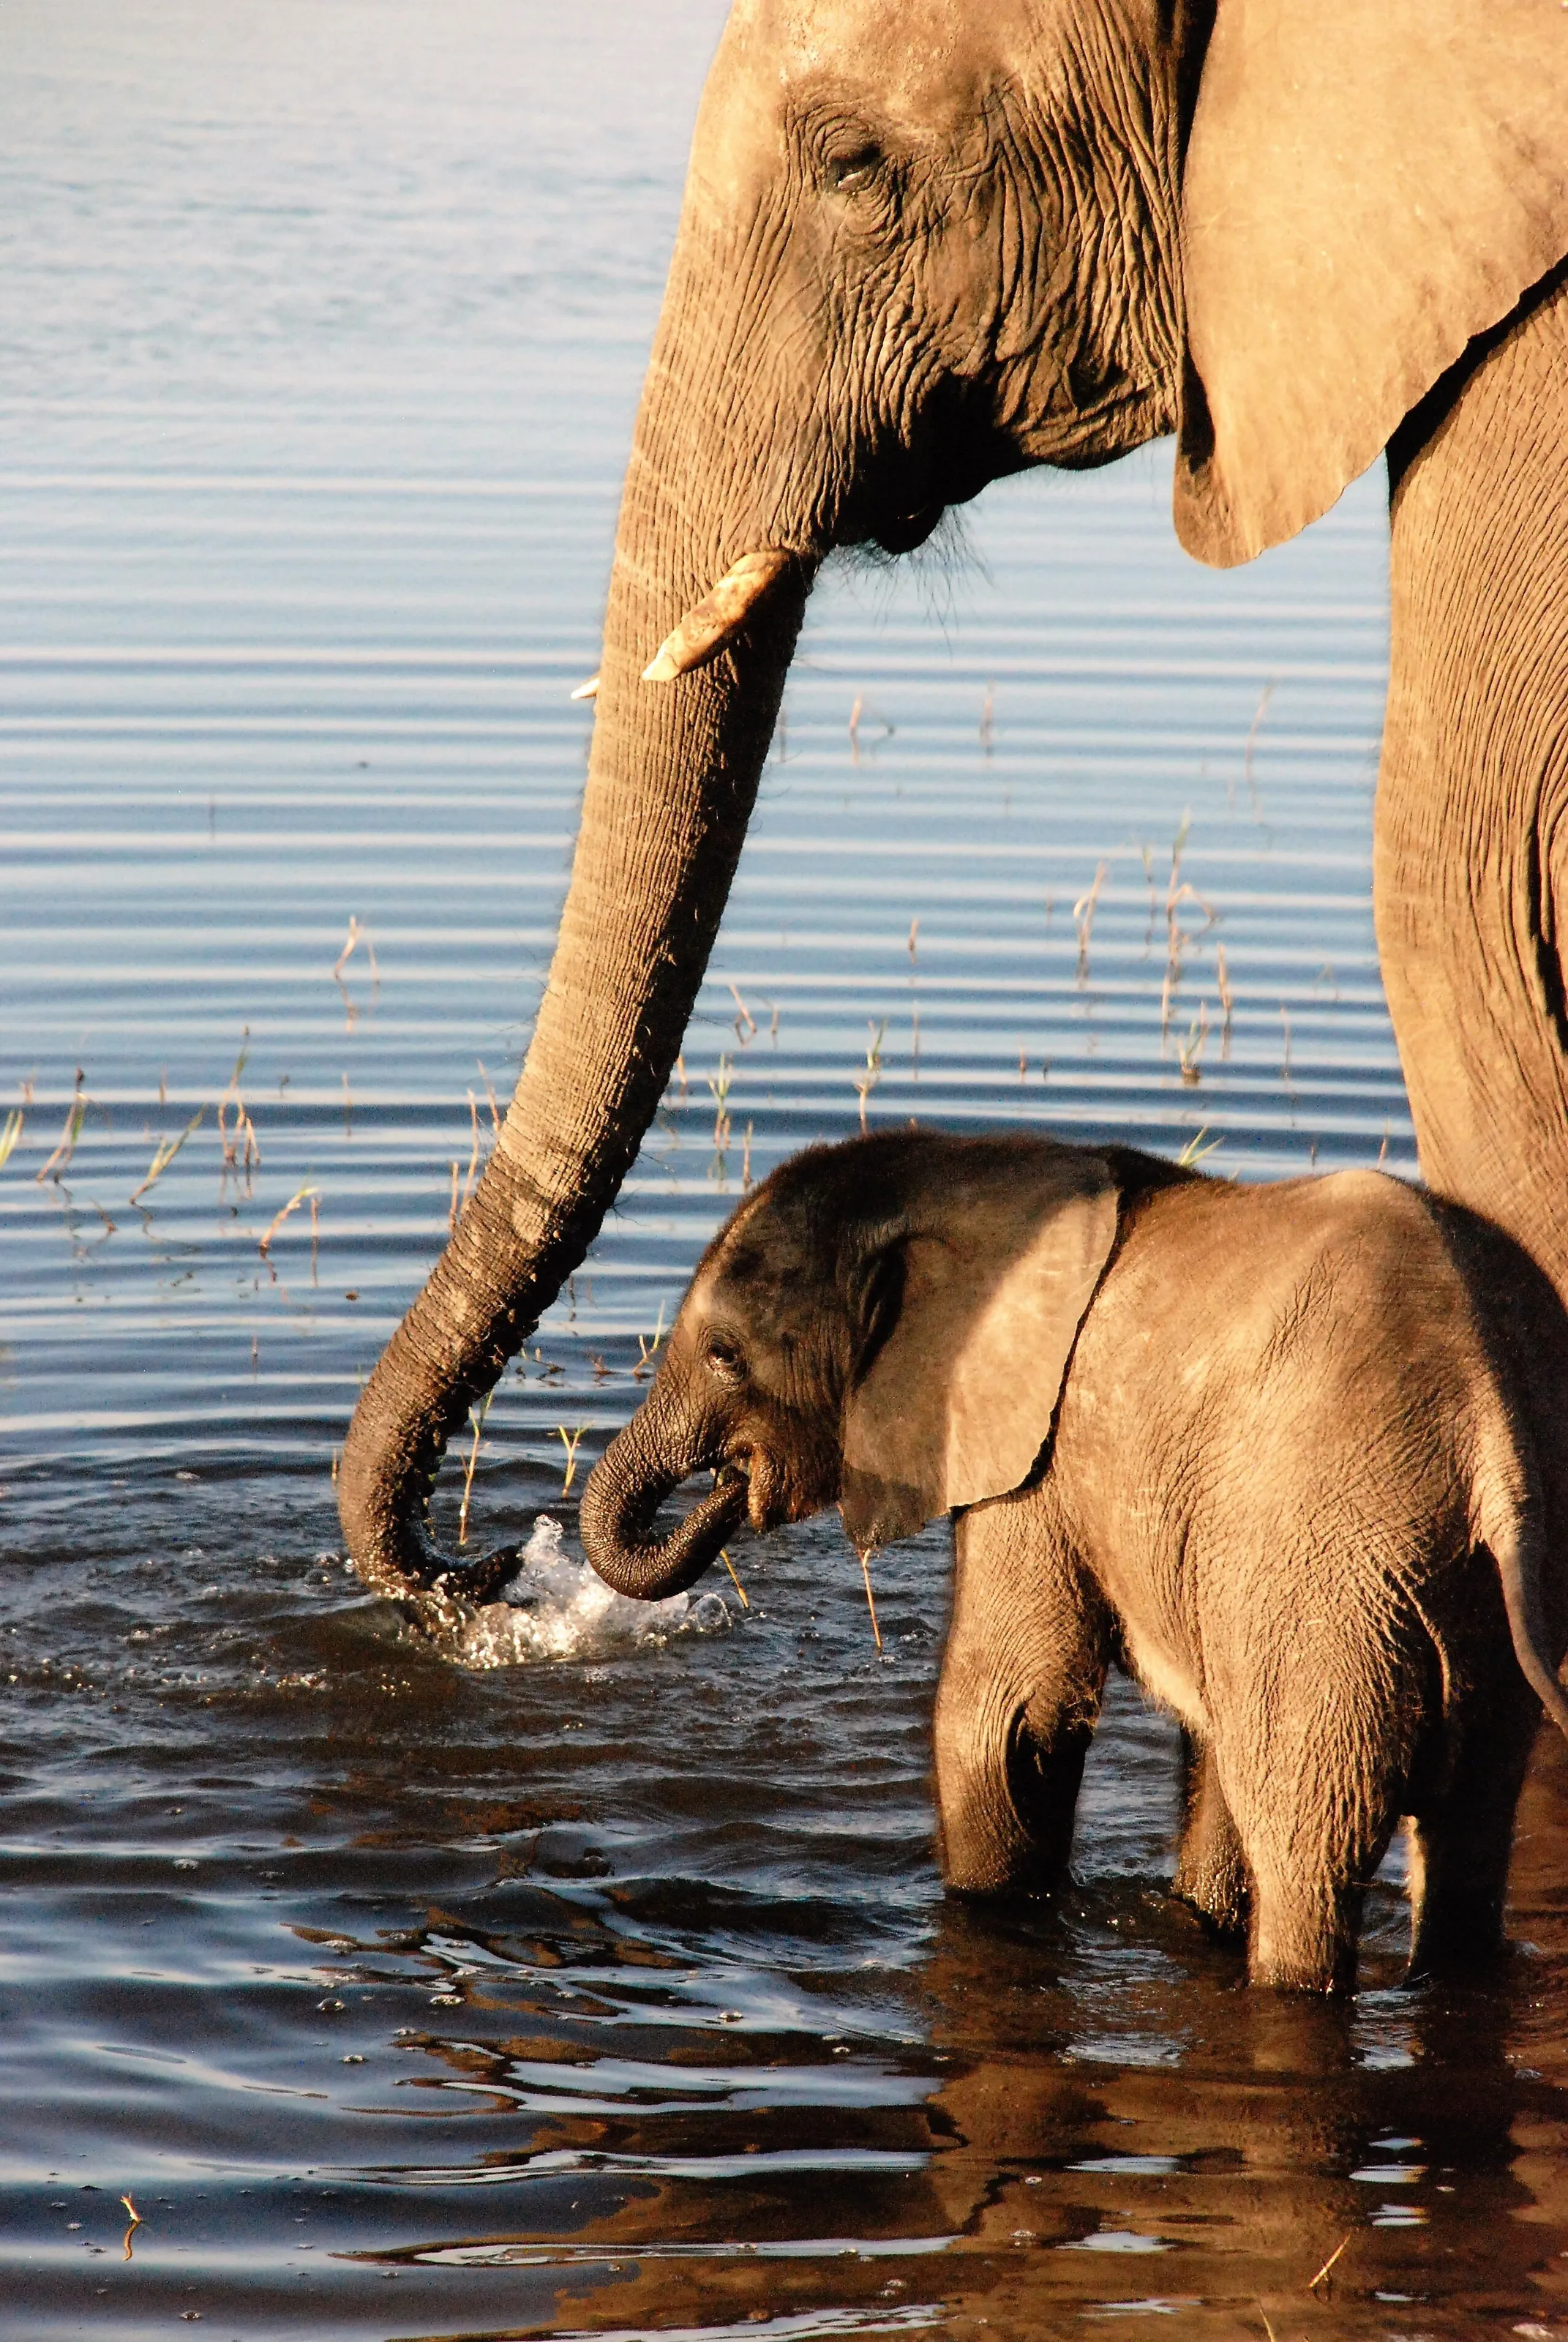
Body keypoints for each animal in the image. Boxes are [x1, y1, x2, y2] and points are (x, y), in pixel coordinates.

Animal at [578, 1129, 1568, 1990]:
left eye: (724, 1356)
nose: (727, 1489)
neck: (965, 1163)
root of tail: (1489, 1419)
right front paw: (1193, 1918)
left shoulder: (1037, 1453)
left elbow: (1003, 1708)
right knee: (1470, 1829)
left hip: (1326, 1562)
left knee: (1307, 1844)